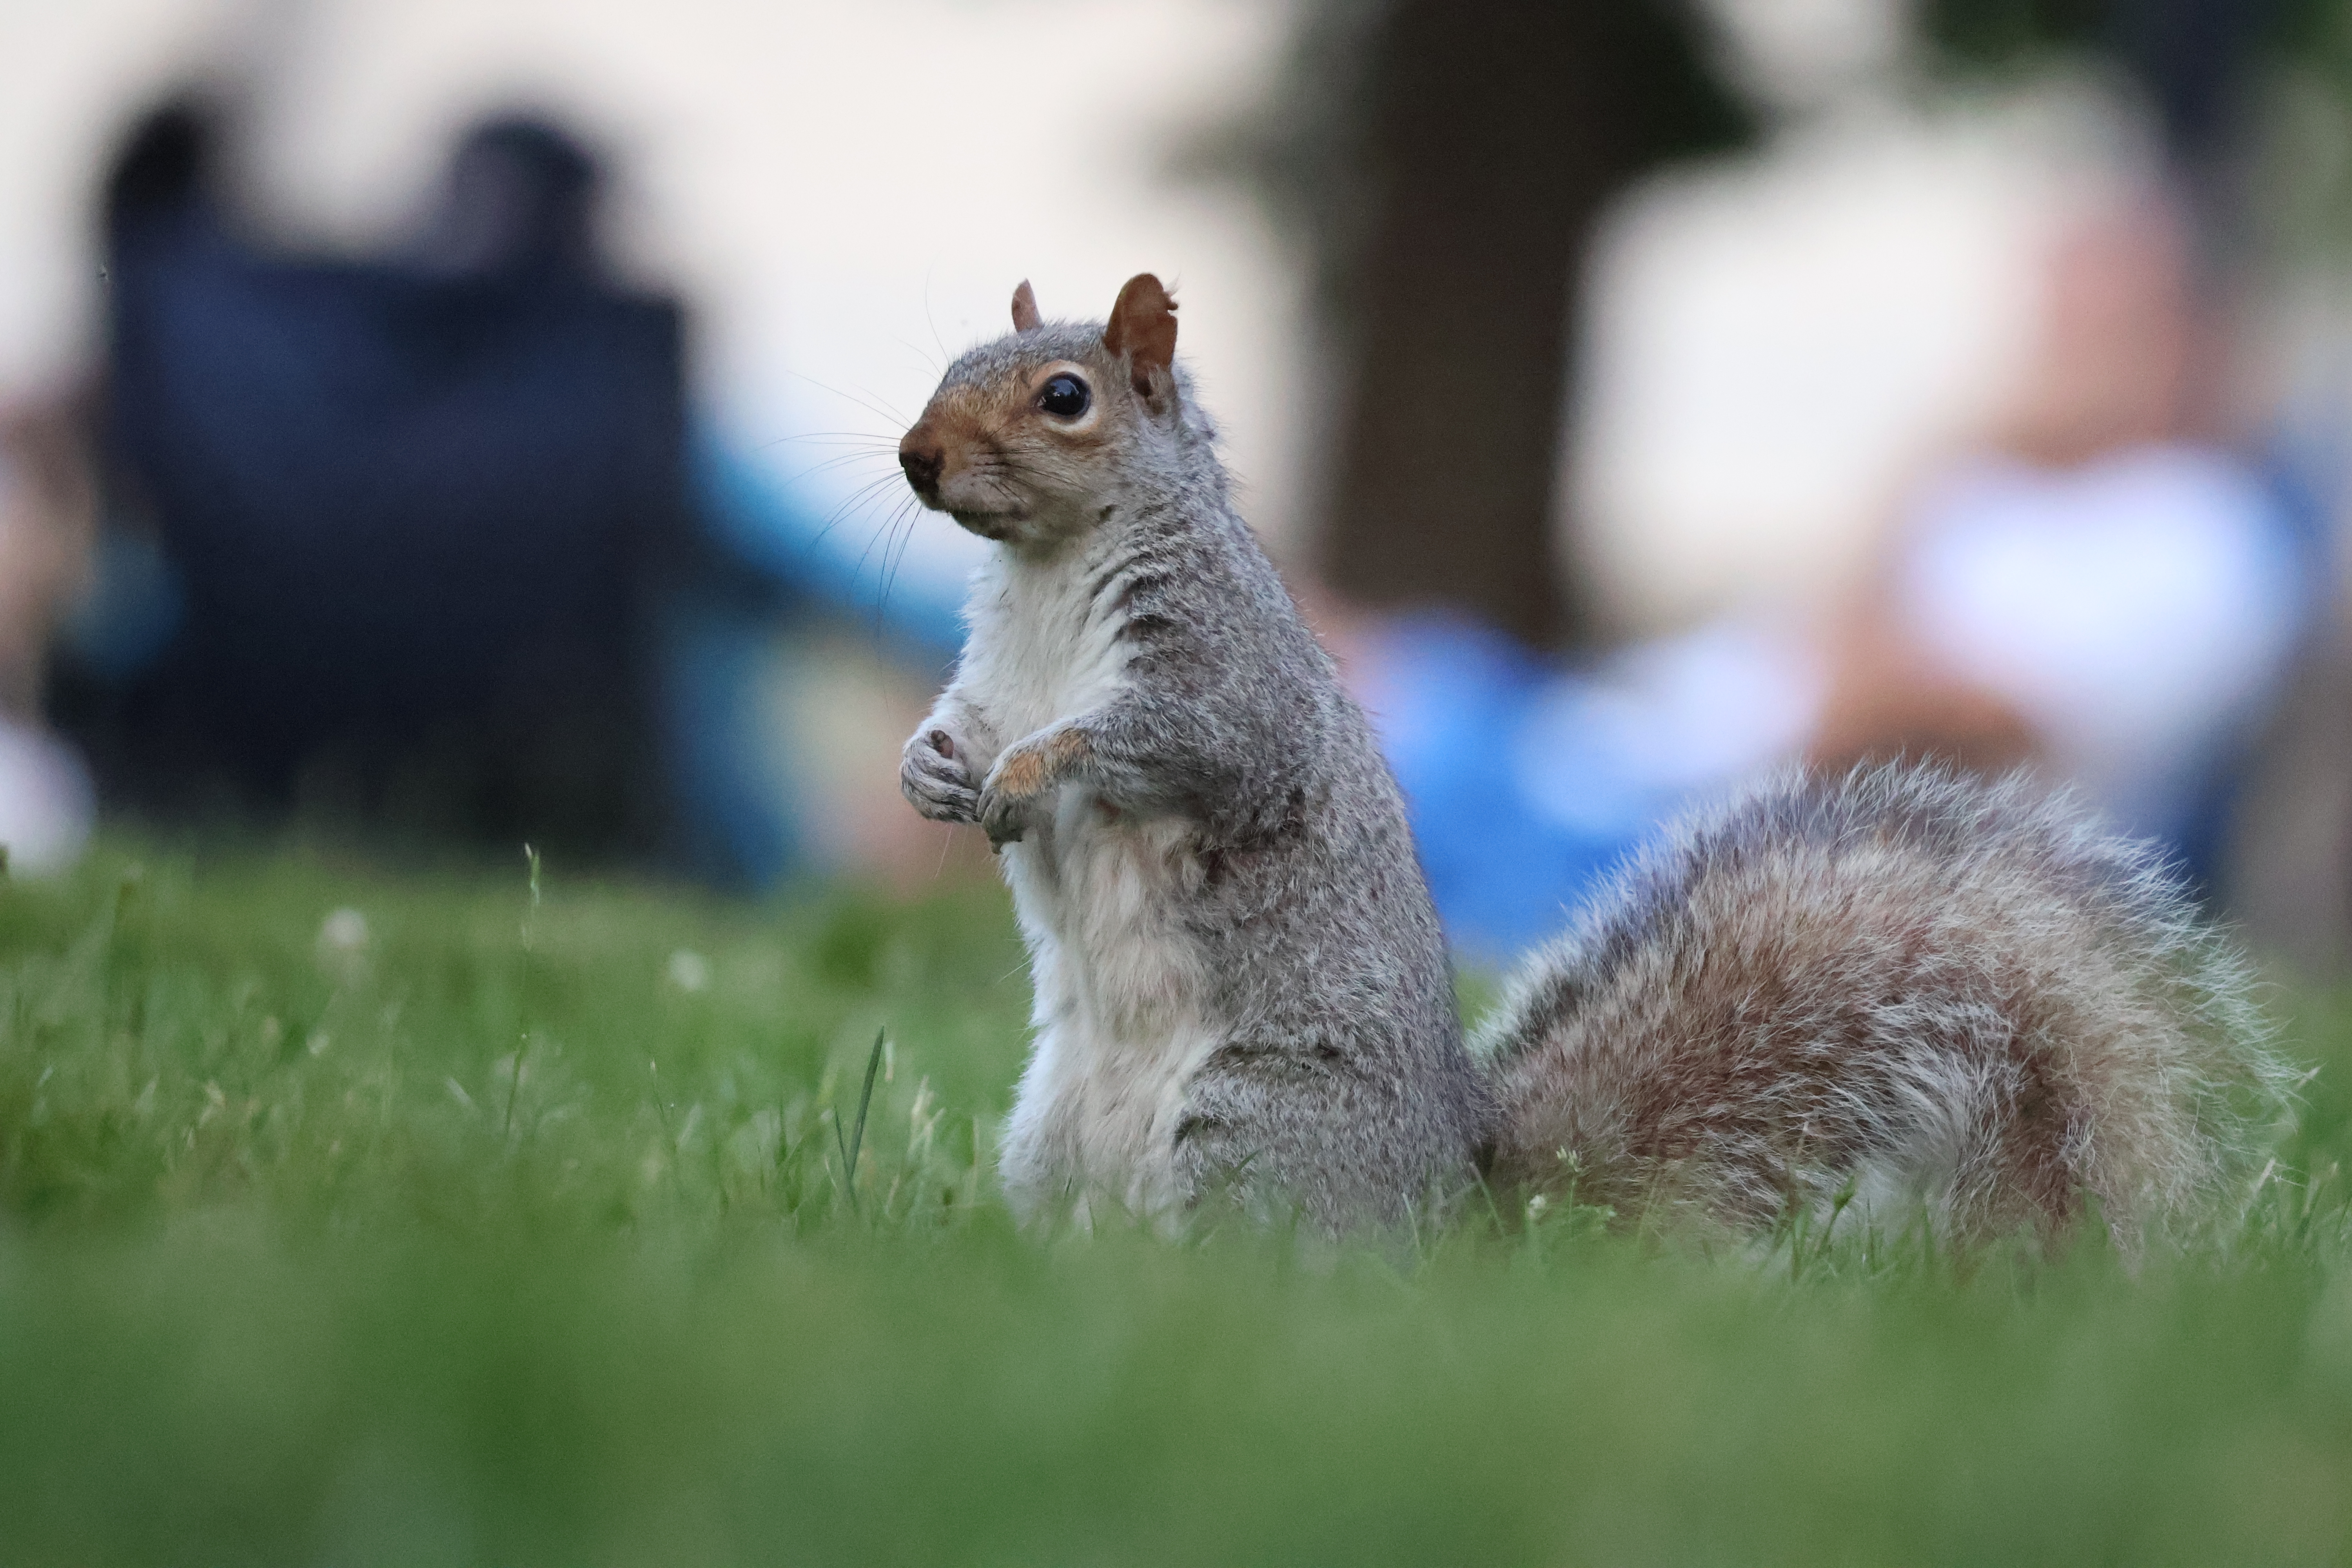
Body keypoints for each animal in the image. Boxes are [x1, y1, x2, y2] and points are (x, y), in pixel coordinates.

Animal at [896, 274, 2291, 1243]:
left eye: (1064, 396)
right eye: (950, 363)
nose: (915, 457)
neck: (1049, 575)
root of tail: (1460, 1218)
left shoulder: (1226, 681)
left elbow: (1164, 741)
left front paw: (1030, 774)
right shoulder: (992, 677)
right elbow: (960, 720)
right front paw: (933, 773)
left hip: (1254, 1132)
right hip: (1046, 1140)